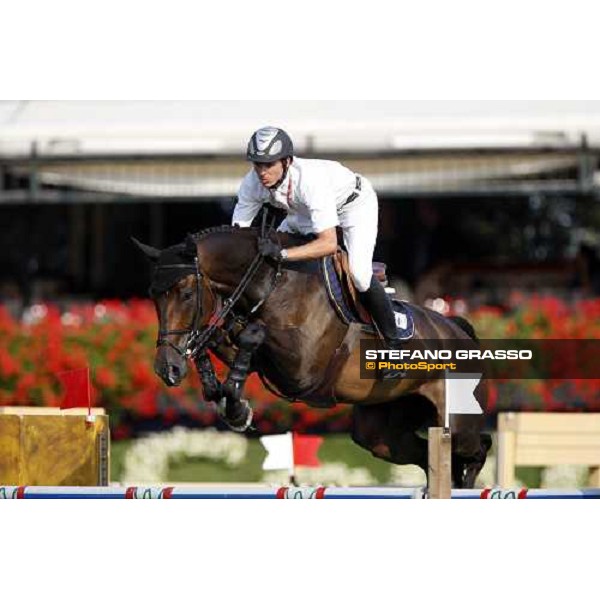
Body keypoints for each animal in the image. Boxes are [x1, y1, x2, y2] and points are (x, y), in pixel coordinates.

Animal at [137, 225, 492, 488]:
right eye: (153, 296)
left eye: (186, 294)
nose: (166, 369)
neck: (272, 284)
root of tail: (459, 329)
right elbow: (221, 339)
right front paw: (225, 397)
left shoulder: (302, 368)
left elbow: (252, 335)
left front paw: (235, 403)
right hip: (383, 432)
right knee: (428, 456)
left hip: (455, 421)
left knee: (478, 448)